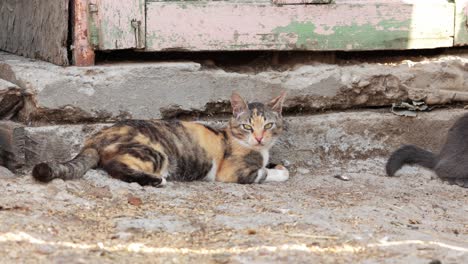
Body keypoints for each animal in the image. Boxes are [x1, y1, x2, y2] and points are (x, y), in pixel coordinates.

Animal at [32, 92, 288, 187]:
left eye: (268, 125)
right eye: (247, 126)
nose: (259, 138)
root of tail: (96, 138)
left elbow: (274, 164)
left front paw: (278, 164)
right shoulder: (232, 172)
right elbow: (263, 173)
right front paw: (278, 172)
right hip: (155, 153)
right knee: (115, 166)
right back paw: (157, 180)